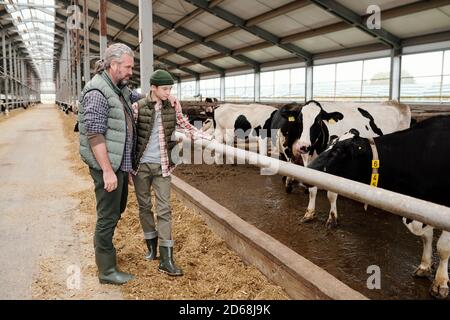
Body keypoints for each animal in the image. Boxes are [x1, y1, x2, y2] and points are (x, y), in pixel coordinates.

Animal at [280, 100, 410, 228]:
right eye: (299, 120)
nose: (302, 146)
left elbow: (332, 194)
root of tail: (396, 103)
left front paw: (332, 219)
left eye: (318, 120)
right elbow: (312, 189)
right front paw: (309, 214)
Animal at [308, 115, 450, 300]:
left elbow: (443, 247)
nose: (308, 169)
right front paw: (425, 266)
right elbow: (427, 237)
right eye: (327, 146)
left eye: (338, 151)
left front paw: (440, 283)